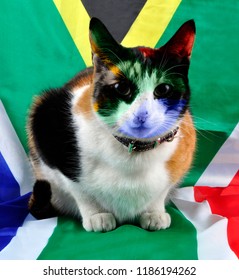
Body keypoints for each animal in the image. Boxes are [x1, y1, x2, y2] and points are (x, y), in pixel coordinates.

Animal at [27, 17, 196, 232]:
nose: (142, 114)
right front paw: (97, 215)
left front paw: (154, 213)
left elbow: (160, 192)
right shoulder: (47, 122)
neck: (134, 156)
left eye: (163, 89)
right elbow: (79, 190)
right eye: (122, 87)